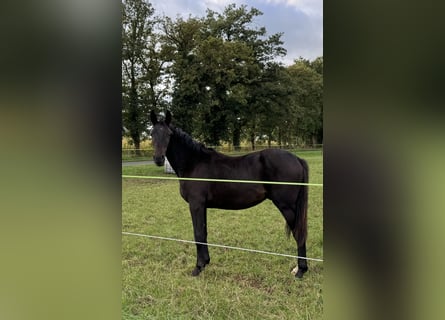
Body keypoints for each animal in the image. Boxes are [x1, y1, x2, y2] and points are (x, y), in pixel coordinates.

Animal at [149, 111, 308, 278]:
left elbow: (198, 233)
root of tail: (297, 159)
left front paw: (198, 267)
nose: (158, 159)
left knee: (298, 233)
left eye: (168, 134)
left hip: (287, 206)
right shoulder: (202, 206)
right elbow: (204, 233)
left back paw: (300, 270)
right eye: (152, 133)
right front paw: (205, 262)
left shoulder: (196, 204)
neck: (193, 162)